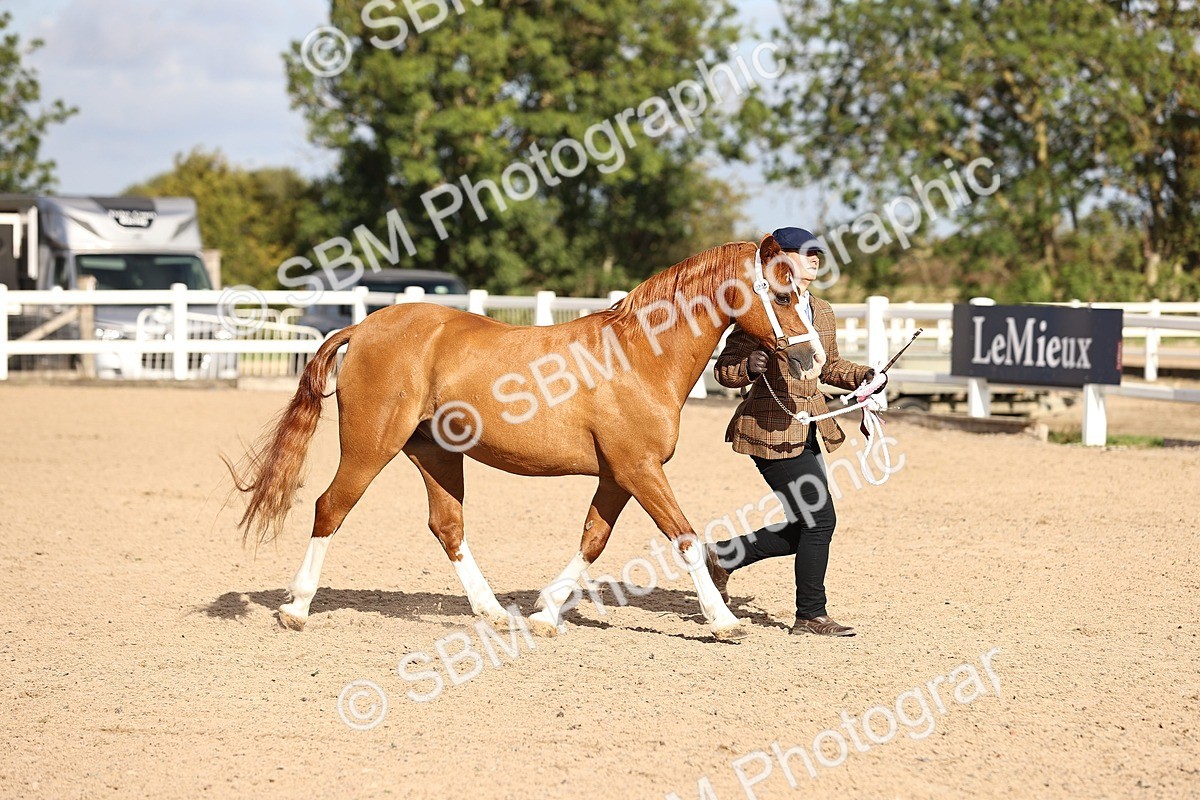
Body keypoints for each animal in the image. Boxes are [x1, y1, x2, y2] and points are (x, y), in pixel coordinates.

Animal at [227, 233, 824, 640]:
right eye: (784, 294)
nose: (812, 359)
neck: (639, 356)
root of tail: (363, 326)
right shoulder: (639, 468)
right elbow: (684, 538)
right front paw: (723, 620)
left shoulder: (619, 474)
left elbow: (593, 540)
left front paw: (545, 612)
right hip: (370, 447)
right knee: (330, 507)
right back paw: (296, 607)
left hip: (434, 454)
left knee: (447, 526)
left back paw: (492, 610)